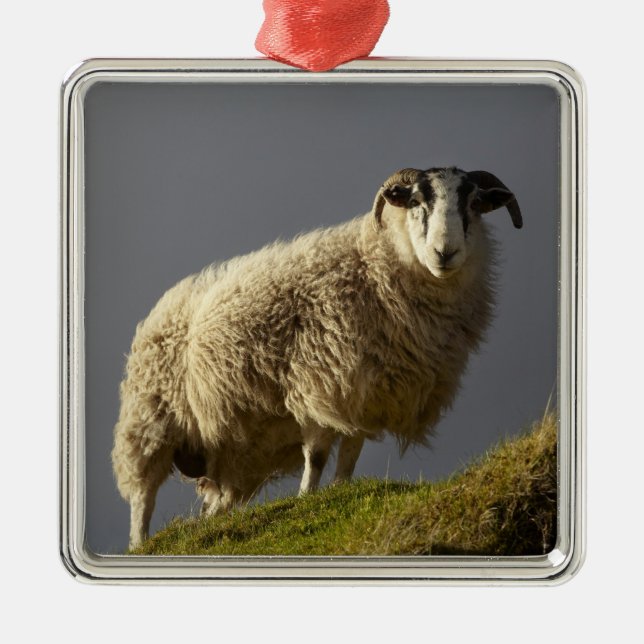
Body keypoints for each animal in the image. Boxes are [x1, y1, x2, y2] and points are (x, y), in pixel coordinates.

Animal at [112, 166, 522, 549]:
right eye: (417, 201)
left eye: (474, 203)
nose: (445, 253)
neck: (375, 264)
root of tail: (159, 310)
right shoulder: (317, 381)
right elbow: (317, 455)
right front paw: (308, 497)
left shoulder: (365, 395)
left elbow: (351, 453)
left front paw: (341, 490)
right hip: (148, 422)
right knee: (143, 497)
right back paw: (141, 545)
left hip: (234, 455)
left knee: (215, 504)